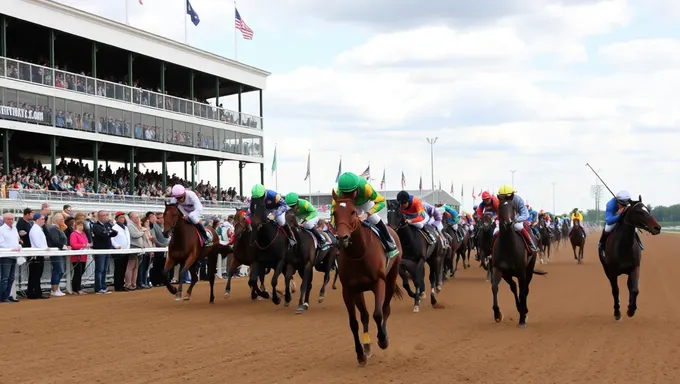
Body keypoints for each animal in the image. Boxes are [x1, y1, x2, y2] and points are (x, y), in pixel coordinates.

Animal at [330, 190, 402, 368]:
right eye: (334, 213)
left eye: (353, 212)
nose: (342, 237)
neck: (358, 253)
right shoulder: (349, 290)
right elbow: (354, 322)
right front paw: (360, 354)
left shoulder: (379, 283)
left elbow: (378, 314)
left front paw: (382, 340)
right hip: (359, 291)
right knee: (364, 315)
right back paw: (367, 346)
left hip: (391, 277)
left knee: (385, 309)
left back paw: (383, 336)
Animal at [488, 200, 548, 328]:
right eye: (499, 207)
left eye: (513, 207)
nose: (508, 223)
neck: (508, 246)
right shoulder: (499, 269)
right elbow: (495, 287)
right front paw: (497, 314)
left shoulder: (522, 272)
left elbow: (523, 291)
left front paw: (522, 318)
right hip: (508, 274)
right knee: (514, 286)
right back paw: (520, 308)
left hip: (529, 268)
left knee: (525, 289)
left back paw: (524, 310)